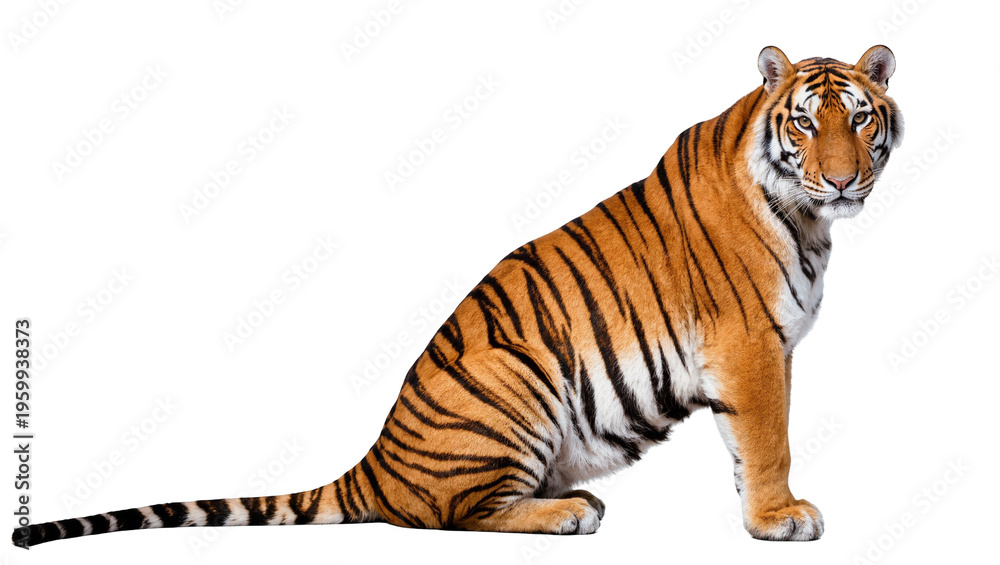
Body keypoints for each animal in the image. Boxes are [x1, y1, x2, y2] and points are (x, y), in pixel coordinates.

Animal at [14, 45, 902, 547]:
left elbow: (750, 445)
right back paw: (566, 513)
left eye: (860, 120)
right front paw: (780, 520)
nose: (841, 178)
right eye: (805, 124)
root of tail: (374, 463)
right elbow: (769, 440)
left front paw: (762, 512)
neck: (811, 219)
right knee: (452, 514)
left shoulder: (763, 352)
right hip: (517, 372)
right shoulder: (750, 345)